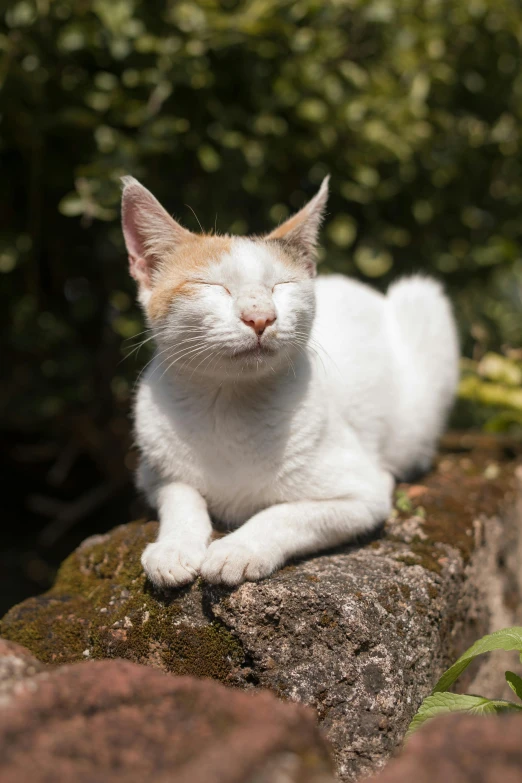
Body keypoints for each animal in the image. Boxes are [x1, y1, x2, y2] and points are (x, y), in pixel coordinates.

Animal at [121, 176, 456, 588]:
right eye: (213, 286)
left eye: (281, 286)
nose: (260, 317)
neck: (228, 403)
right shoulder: (152, 474)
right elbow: (181, 496)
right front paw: (174, 548)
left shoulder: (364, 494)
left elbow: (283, 514)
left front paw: (238, 550)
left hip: (422, 300)